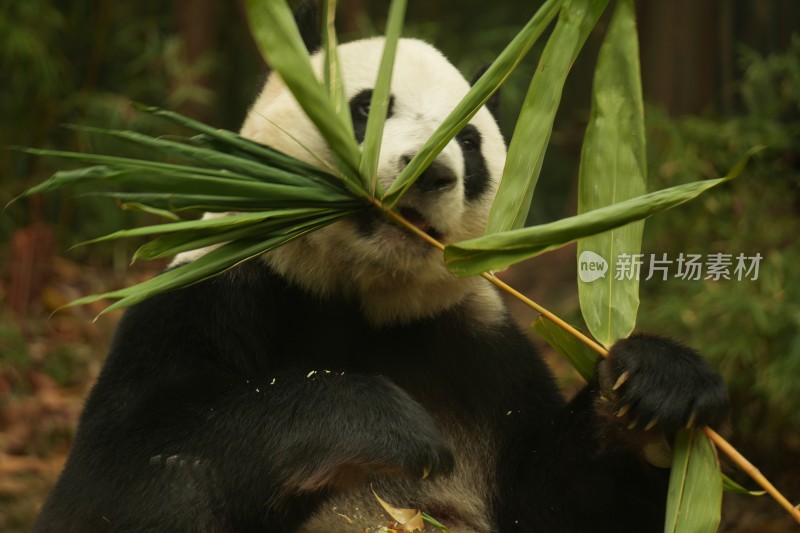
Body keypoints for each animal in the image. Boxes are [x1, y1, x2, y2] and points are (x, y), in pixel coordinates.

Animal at [34, 17, 728, 532]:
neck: (357, 298)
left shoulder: (475, 347)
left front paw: (654, 386)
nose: (431, 172)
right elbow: (127, 473)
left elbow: (556, 500)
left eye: (470, 143)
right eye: (367, 108)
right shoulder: (213, 290)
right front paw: (384, 427)